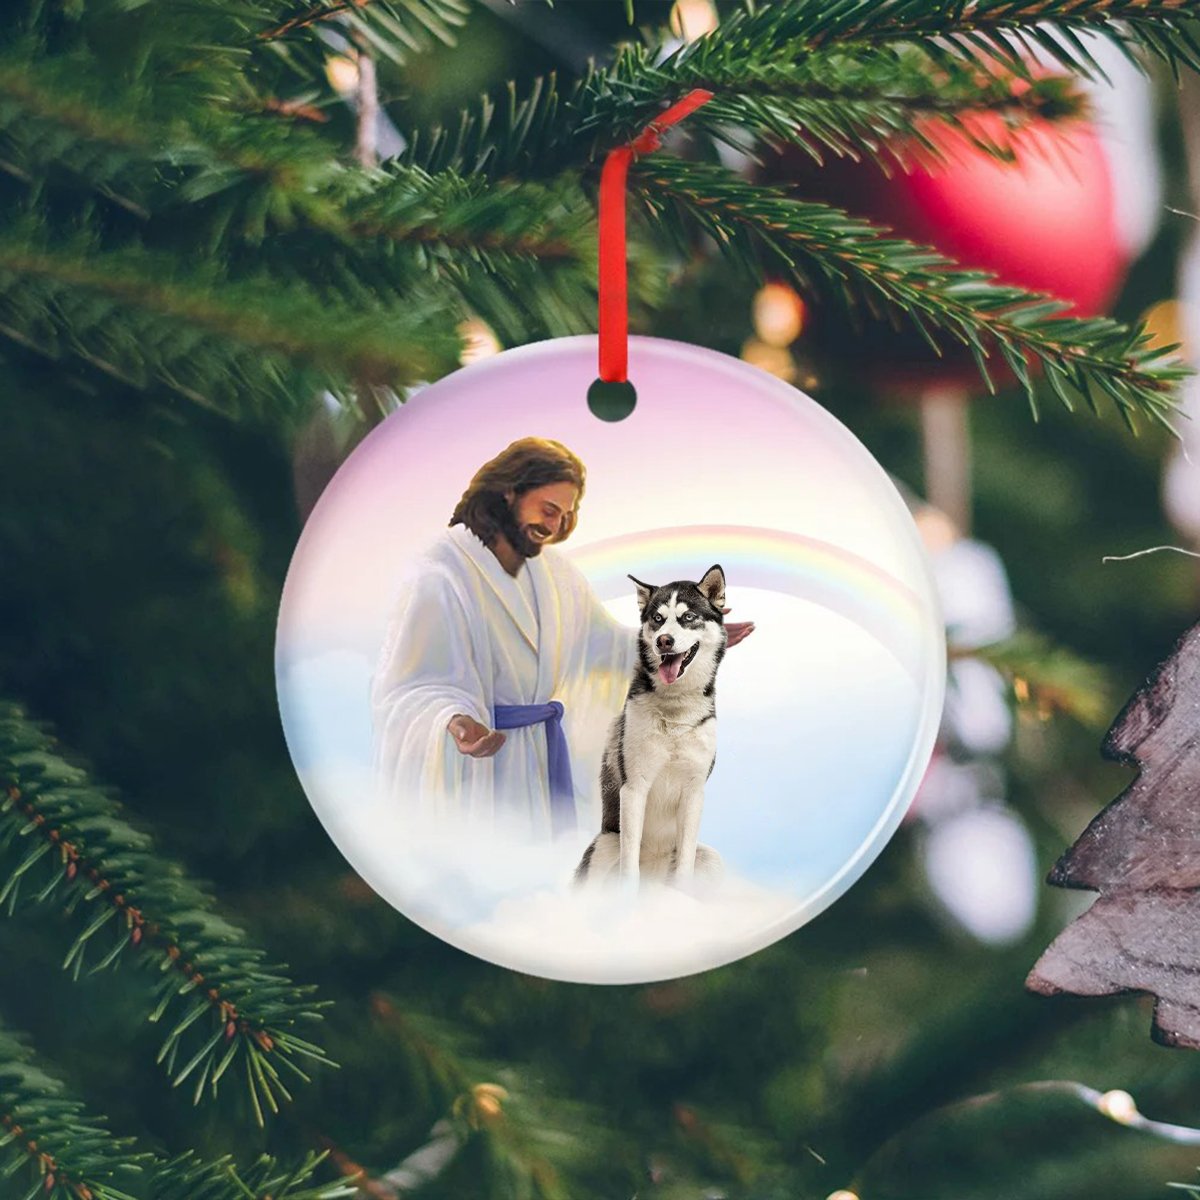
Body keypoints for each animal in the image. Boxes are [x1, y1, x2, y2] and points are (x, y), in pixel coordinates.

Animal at [573, 566, 724, 888]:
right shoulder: (634, 787)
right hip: (605, 845)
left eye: (688, 617)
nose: (663, 641)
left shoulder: (694, 792)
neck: (675, 710)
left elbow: (685, 865)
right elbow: (629, 867)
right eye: (657, 618)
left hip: (712, 859)